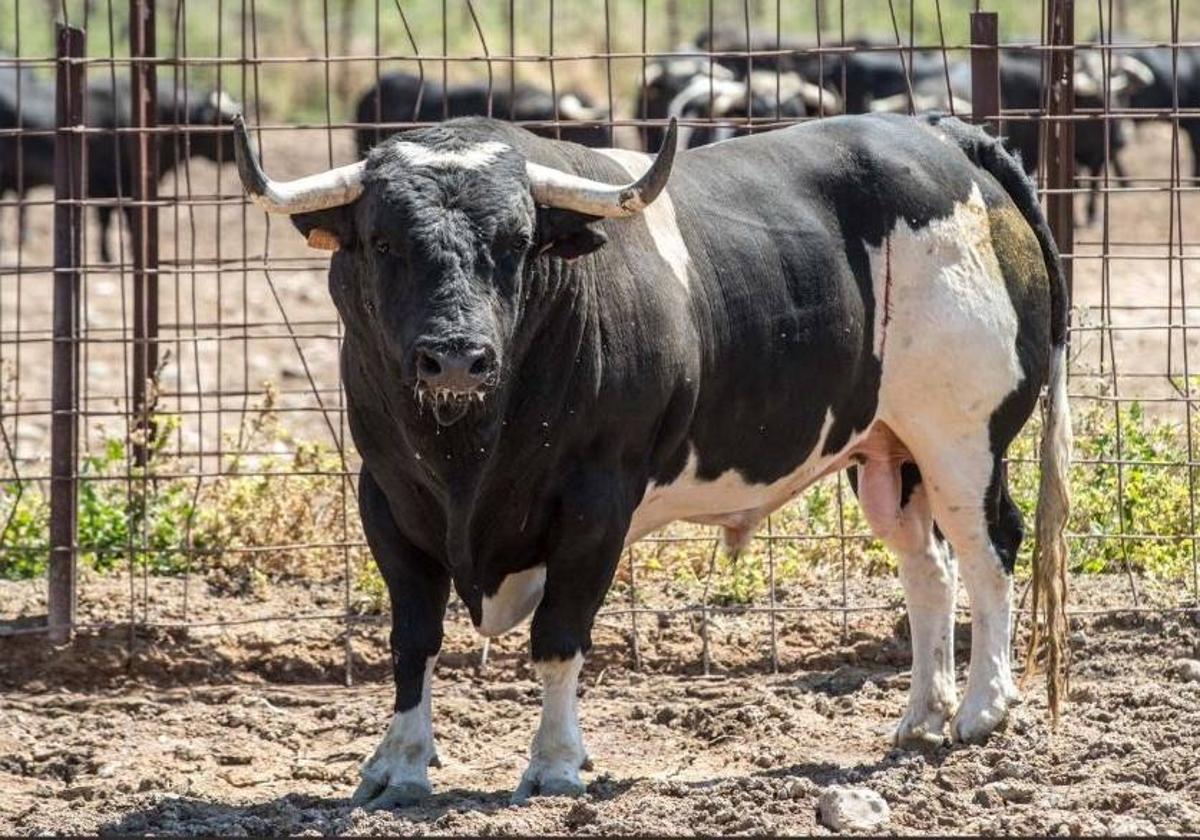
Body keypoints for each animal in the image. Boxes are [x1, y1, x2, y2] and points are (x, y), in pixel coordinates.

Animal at [231, 108, 1070, 801]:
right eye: (383, 242)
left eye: (516, 244)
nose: (457, 359)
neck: (469, 453)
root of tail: (942, 137)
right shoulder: (388, 500)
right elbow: (413, 641)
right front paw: (398, 765)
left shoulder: (596, 505)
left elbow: (559, 636)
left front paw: (554, 763)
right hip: (890, 456)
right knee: (930, 570)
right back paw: (922, 716)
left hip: (963, 440)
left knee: (990, 550)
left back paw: (983, 709)